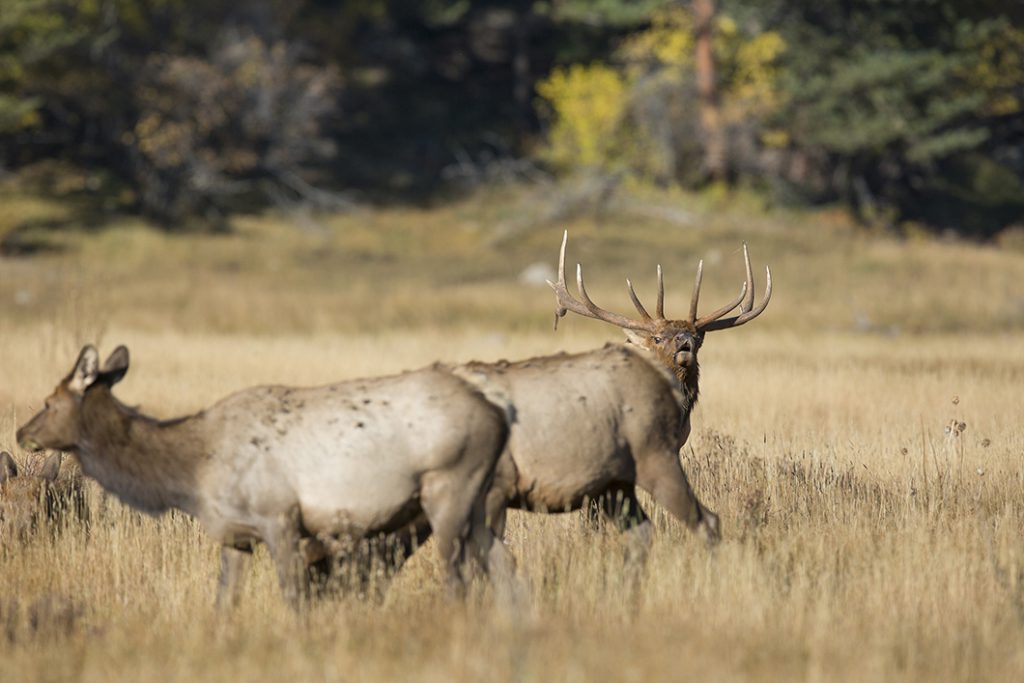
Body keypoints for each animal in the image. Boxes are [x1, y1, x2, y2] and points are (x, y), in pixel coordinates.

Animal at [18, 348, 520, 610]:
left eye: (48, 401)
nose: (23, 433)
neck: (191, 473)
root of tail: (498, 412)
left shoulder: (280, 517)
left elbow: (293, 597)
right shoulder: (234, 533)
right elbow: (223, 599)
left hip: (450, 486)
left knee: (458, 573)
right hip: (479, 499)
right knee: (501, 560)